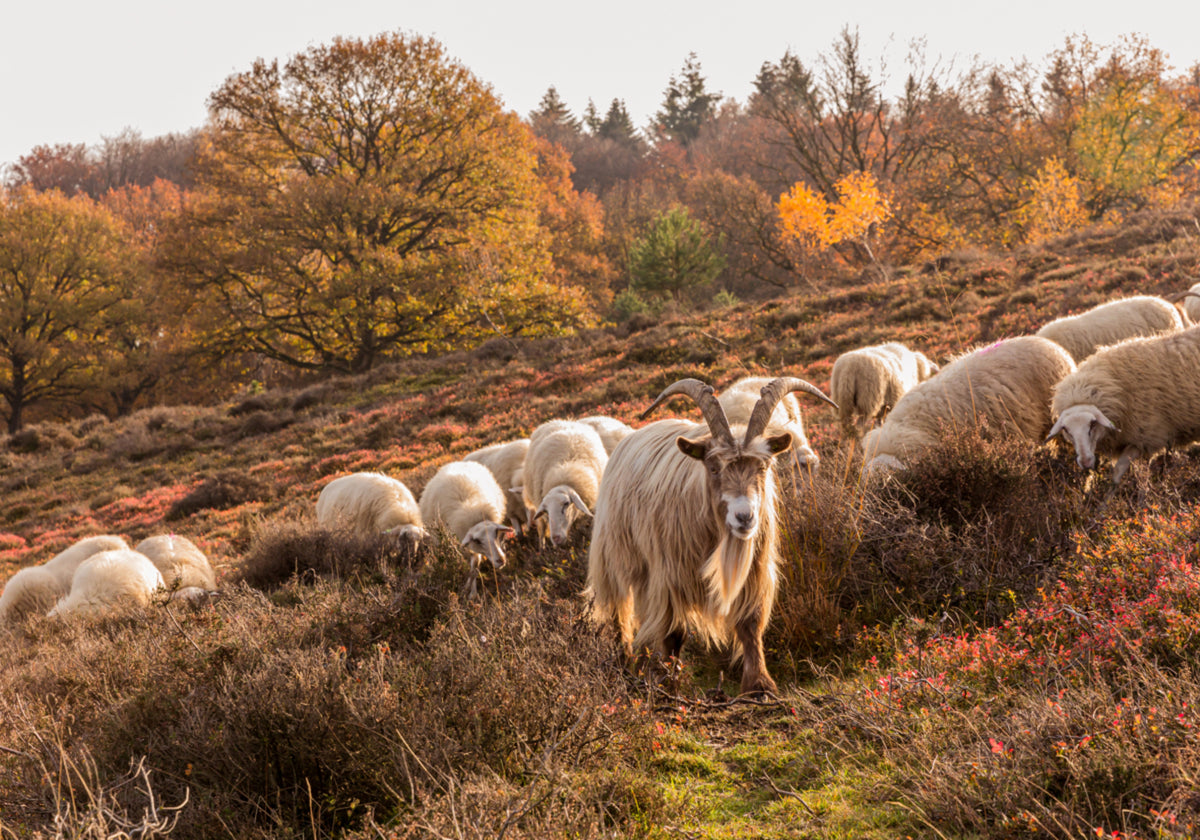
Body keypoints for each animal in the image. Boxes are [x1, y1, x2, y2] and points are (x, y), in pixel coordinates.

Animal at [418, 461, 515, 589]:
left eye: (495, 533)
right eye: (477, 541)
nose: (501, 560)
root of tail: (457, 462)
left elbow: (475, 564)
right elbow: (474, 564)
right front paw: (469, 589)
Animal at [586, 376, 835, 695]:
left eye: (763, 466)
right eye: (714, 468)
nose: (744, 516)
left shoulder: (754, 570)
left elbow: (750, 624)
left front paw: (759, 685)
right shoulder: (670, 574)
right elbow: (674, 632)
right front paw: (669, 685)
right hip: (614, 556)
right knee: (619, 609)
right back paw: (624, 663)